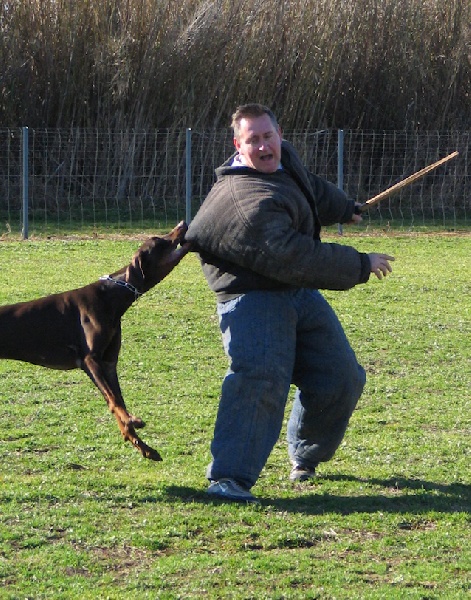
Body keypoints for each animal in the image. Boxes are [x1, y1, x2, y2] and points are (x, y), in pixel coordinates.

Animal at [0, 223, 192, 462]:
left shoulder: (108, 364)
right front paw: (133, 421)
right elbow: (114, 400)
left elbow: (118, 400)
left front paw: (142, 445)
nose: (182, 224)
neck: (112, 296)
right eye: (158, 240)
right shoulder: (90, 361)